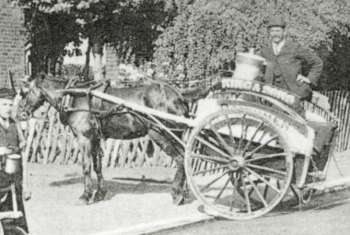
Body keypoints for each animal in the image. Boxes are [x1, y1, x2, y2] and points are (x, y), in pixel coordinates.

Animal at [20, 73, 212, 204]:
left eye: (26, 91)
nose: (23, 112)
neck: (73, 95)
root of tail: (179, 95)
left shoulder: (84, 138)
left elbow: (86, 167)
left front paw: (86, 195)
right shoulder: (95, 138)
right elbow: (97, 166)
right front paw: (99, 193)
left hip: (160, 134)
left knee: (180, 159)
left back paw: (177, 194)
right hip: (175, 134)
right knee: (185, 158)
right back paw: (184, 193)